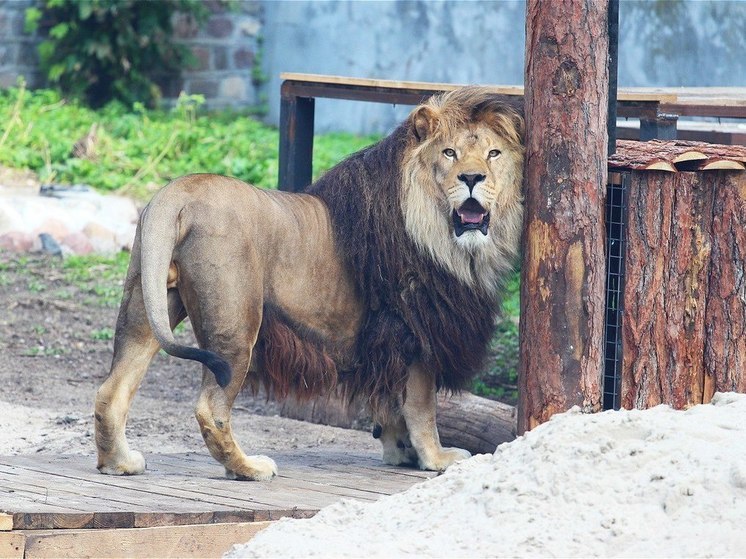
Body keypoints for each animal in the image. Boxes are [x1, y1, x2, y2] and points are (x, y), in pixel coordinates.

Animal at [93, 87, 524, 482]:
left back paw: (120, 463)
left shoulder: (386, 339)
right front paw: (436, 458)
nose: (472, 178)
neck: (443, 234)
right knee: (210, 408)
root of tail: (177, 192)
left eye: (493, 154)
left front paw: (398, 450)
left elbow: (390, 401)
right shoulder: (417, 330)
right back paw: (248, 468)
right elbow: (422, 406)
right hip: (235, 326)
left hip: (146, 304)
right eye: (449, 153)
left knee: (112, 389)